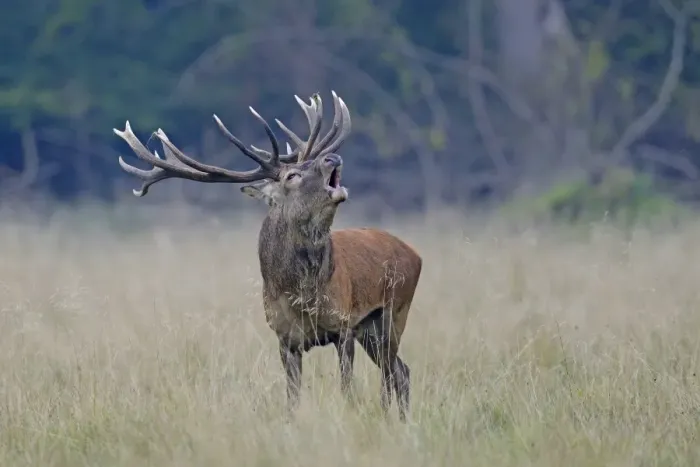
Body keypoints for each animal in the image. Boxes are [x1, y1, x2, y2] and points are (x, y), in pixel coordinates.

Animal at [113, 91, 422, 421]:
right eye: (292, 175)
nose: (332, 158)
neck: (302, 294)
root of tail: (415, 254)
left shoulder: (343, 326)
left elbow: (346, 391)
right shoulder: (284, 338)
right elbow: (292, 399)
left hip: (393, 312)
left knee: (395, 374)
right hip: (372, 330)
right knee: (400, 371)